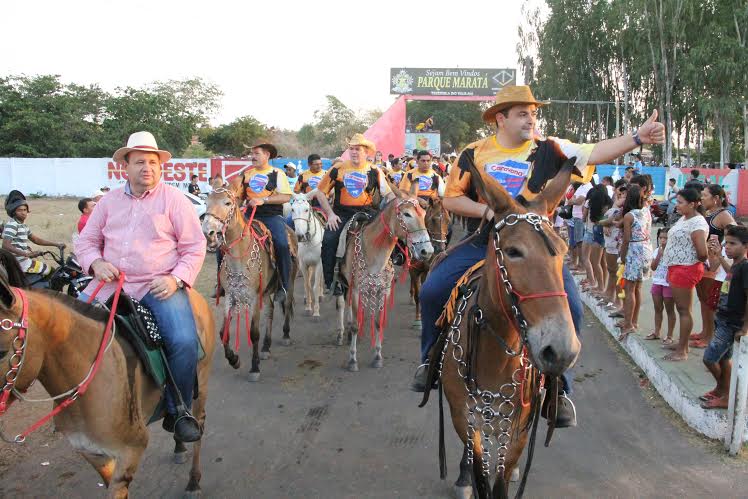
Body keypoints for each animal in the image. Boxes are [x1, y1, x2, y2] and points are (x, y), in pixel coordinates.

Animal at [0, 256, 216, 498]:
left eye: (1, 352)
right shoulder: (93, 454)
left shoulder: (130, 452)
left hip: (201, 386)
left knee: (199, 424)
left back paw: (193, 479)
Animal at [203, 180, 300, 382]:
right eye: (206, 202)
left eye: (227, 203)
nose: (208, 232)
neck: (239, 256)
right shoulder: (231, 296)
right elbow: (223, 332)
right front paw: (234, 359)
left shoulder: (254, 298)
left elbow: (254, 333)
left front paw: (254, 368)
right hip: (268, 292)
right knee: (270, 312)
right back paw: (266, 346)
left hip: (290, 283)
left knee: (286, 305)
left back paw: (285, 335)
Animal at [338, 184, 436, 372]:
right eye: (406, 214)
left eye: (424, 213)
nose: (426, 251)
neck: (373, 252)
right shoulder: (356, 289)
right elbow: (354, 325)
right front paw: (352, 360)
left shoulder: (383, 290)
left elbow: (377, 322)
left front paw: (377, 356)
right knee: (344, 307)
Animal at [410, 197, 450, 330]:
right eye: (433, 219)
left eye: (448, 221)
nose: (440, 248)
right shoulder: (413, 269)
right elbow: (418, 295)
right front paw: (418, 320)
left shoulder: (426, 270)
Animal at [424, 156, 580, 499]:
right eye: (513, 251)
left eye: (563, 251)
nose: (560, 350)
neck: (497, 355)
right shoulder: (464, 417)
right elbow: (482, 476)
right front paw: (468, 478)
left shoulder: (518, 425)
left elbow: (502, 480)